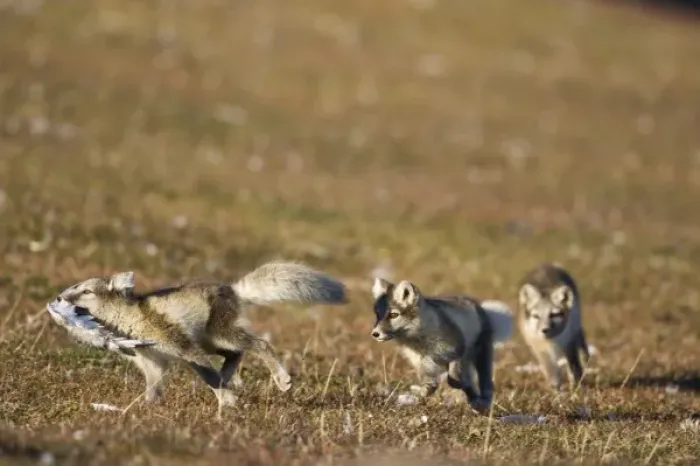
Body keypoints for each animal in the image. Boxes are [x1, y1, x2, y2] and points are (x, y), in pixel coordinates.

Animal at [48, 261, 347, 407]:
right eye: (73, 286)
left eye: (86, 291)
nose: (58, 298)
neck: (129, 320)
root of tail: (232, 289)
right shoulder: (153, 363)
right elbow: (153, 390)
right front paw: (146, 410)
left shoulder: (183, 348)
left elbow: (209, 378)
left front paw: (228, 402)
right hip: (209, 341)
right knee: (236, 354)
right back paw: (229, 376)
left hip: (218, 335)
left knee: (258, 344)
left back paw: (281, 379)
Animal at [370, 277, 513, 414]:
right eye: (378, 315)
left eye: (393, 314)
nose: (375, 334)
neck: (421, 341)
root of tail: (477, 305)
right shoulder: (421, 361)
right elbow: (427, 379)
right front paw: (427, 390)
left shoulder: (457, 352)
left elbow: (453, 379)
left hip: (481, 356)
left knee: (486, 384)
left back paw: (482, 402)